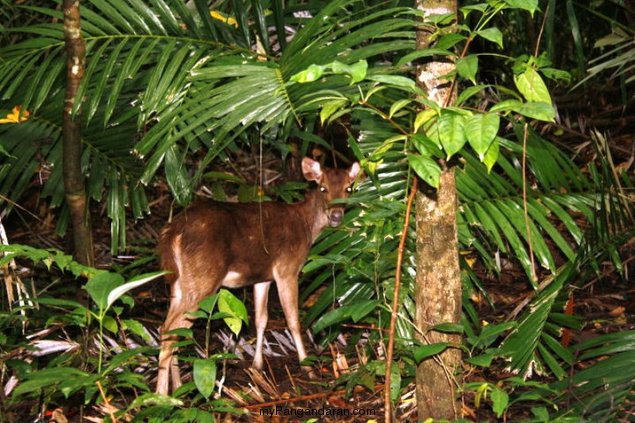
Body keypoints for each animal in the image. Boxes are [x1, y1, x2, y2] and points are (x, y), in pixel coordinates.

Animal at [156, 157, 360, 396]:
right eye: (323, 188)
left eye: (348, 188)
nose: (336, 215)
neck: (306, 227)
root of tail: (172, 232)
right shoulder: (287, 269)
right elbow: (293, 320)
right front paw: (307, 367)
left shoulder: (263, 277)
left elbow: (261, 319)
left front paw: (257, 366)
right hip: (202, 279)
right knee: (170, 330)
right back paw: (160, 395)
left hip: (179, 282)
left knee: (169, 328)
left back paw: (177, 387)